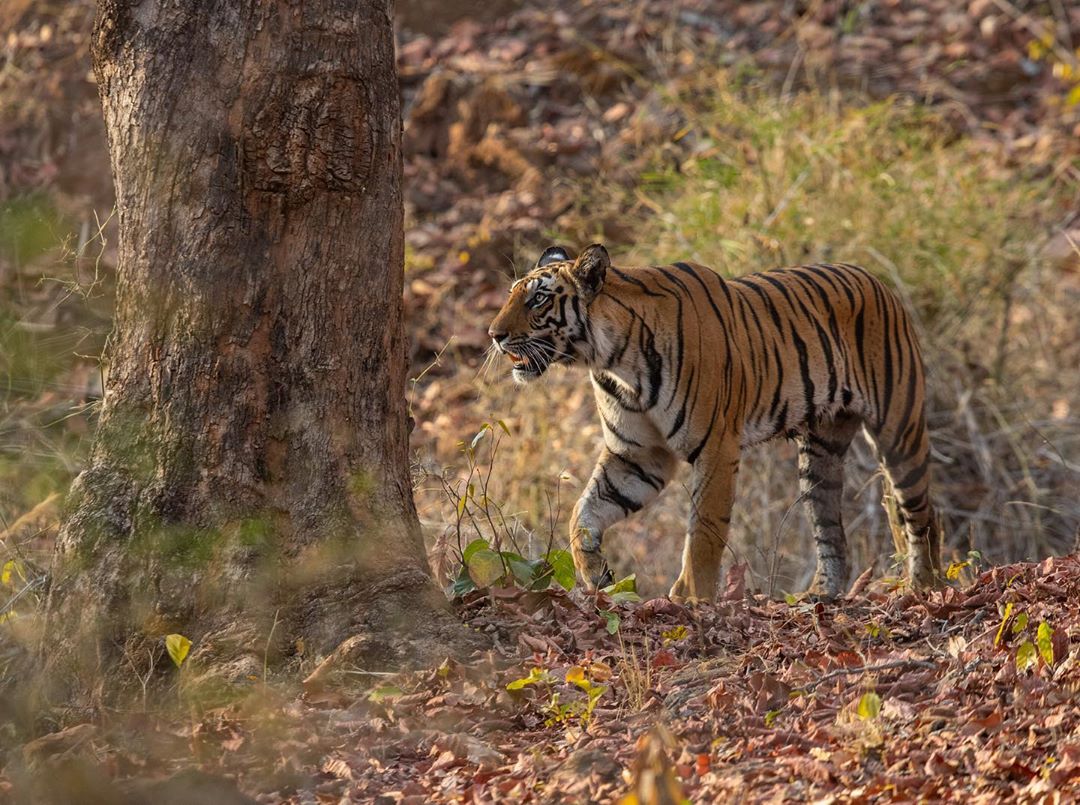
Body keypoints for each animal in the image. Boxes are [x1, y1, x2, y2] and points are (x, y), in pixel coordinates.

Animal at [486, 242, 941, 600]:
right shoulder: (638, 455)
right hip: (820, 456)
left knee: (922, 512)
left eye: (538, 300)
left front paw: (691, 599)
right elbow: (582, 514)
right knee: (829, 526)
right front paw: (596, 573)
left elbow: (704, 530)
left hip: (899, 430)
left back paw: (923, 586)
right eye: (512, 295)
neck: (611, 359)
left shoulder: (716, 447)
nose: (494, 334)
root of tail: (877, 280)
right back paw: (820, 595)